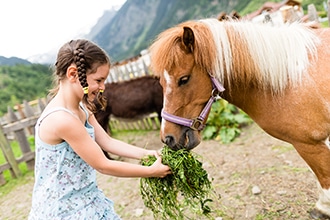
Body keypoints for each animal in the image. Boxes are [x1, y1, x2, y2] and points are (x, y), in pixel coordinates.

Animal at [149, 18, 330, 218]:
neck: (289, 79)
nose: (168, 138)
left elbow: (325, 178)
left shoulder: (311, 144)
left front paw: (322, 208)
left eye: (184, 79)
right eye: (161, 82)